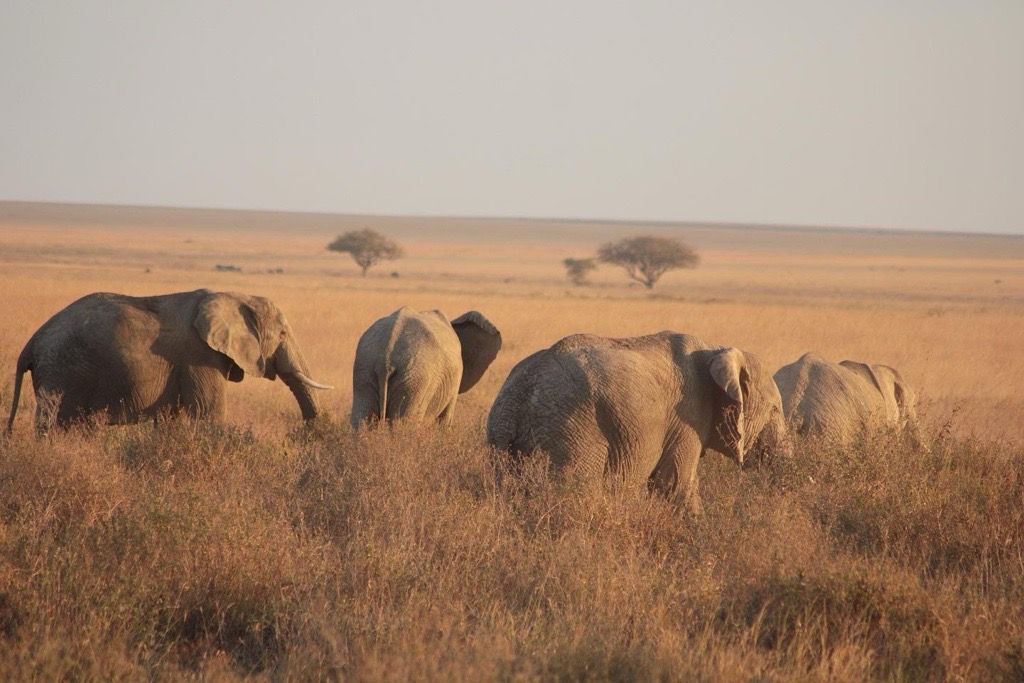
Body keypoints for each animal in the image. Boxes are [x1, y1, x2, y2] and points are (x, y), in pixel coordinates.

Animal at [6, 289, 332, 432]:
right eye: (282, 333)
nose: (310, 434)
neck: (235, 295)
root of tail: (31, 343)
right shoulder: (199, 356)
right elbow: (209, 413)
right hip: (62, 369)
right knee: (56, 422)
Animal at [350, 307, 501, 428]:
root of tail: (386, 357)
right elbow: (445, 421)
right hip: (416, 378)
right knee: (403, 424)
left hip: (366, 368)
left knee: (361, 420)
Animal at [486, 331, 791, 514]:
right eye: (775, 410)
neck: (715, 350)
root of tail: (521, 391)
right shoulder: (687, 417)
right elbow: (675, 486)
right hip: (572, 432)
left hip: (502, 434)